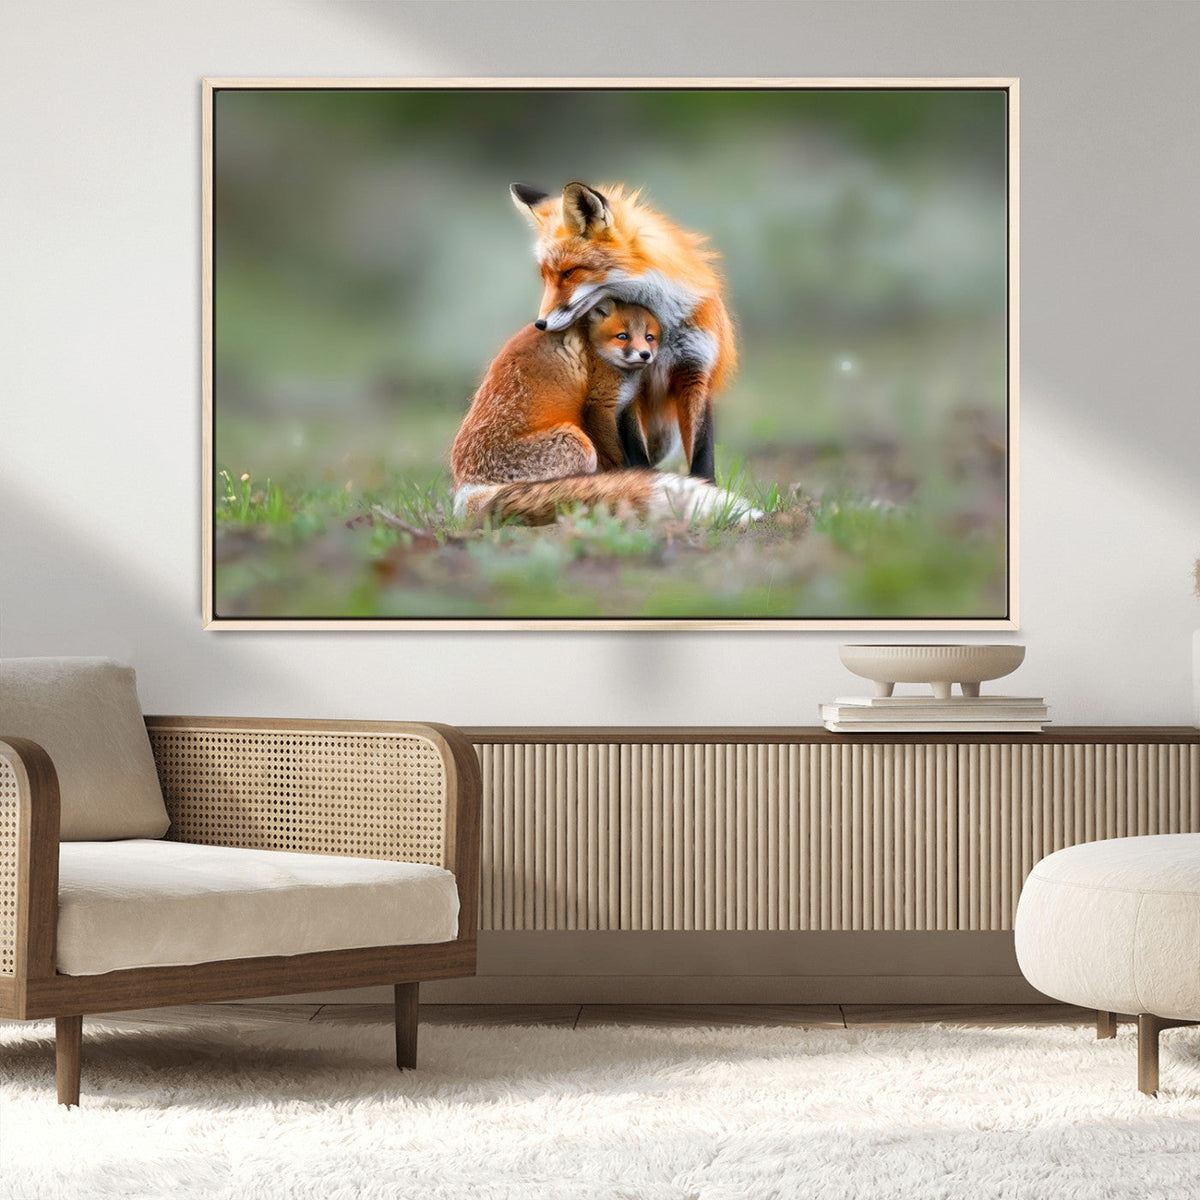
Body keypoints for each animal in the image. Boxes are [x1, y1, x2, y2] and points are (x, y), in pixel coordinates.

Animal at [451, 300, 756, 526]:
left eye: (649, 337)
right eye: (622, 336)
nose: (645, 355)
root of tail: (467, 488)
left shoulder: (627, 407)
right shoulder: (599, 406)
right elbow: (618, 456)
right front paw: (629, 480)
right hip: (578, 443)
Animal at [510, 181, 737, 483]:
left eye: (569, 273)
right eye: (545, 277)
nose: (540, 324)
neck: (662, 328)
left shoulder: (695, 370)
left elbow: (702, 453)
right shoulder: (631, 385)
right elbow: (636, 451)